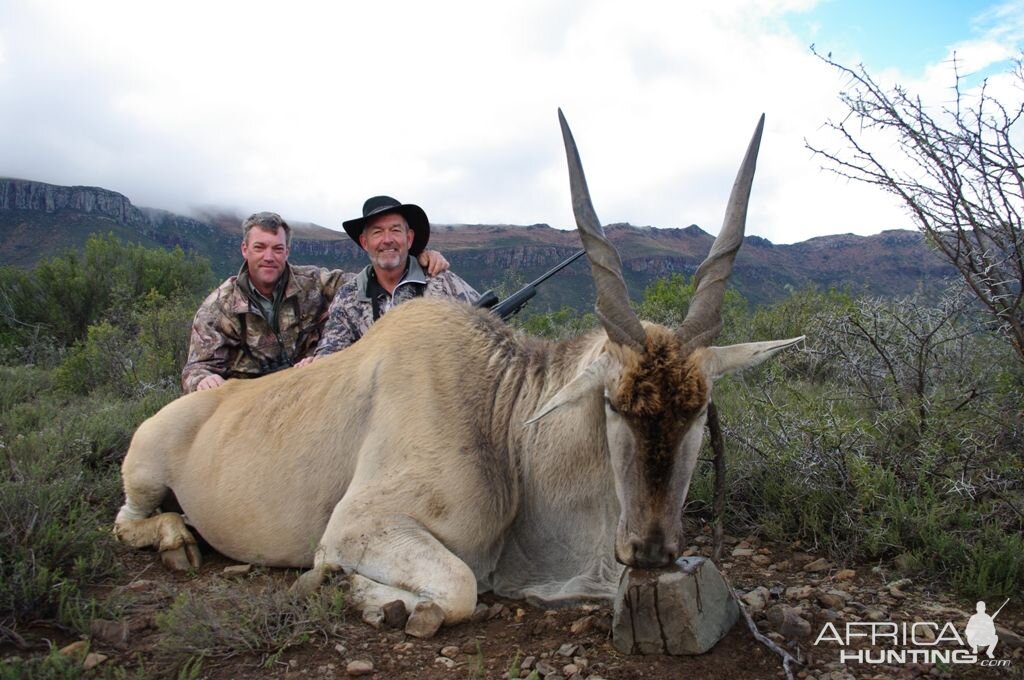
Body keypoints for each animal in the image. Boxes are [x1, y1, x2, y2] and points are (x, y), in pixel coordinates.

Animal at [112, 111, 798, 626]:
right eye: (612, 403)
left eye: (698, 409)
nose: (652, 551)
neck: (504, 418)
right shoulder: (356, 527)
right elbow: (460, 589)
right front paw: (347, 589)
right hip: (144, 476)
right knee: (128, 521)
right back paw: (178, 540)